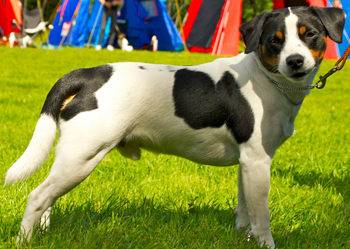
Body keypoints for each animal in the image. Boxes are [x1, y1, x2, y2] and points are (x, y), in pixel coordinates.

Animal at [4, 5, 346, 247]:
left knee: (48, 199)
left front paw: (243, 236)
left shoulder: (247, 162)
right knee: (37, 197)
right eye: (275, 41)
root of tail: (89, 74)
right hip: (81, 157)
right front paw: (265, 243)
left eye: (309, 34)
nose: (295, 61)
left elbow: (245, 208)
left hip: (71, 160)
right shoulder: (259, 161)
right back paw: (25, 241)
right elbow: (262, 215)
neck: (266, 79)